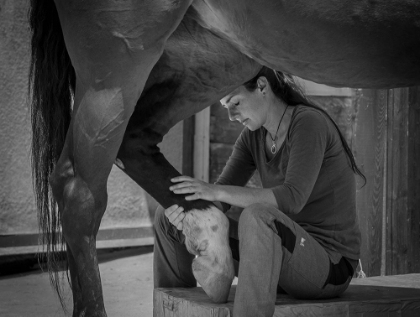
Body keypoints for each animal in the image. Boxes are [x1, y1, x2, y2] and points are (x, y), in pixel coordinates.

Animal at [29, 0, 420, 316]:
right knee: (79, 190)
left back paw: (212, 255)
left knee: (135, 140)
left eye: (235, 104)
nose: (232, 116)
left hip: (218, 55)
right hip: (119, 56)